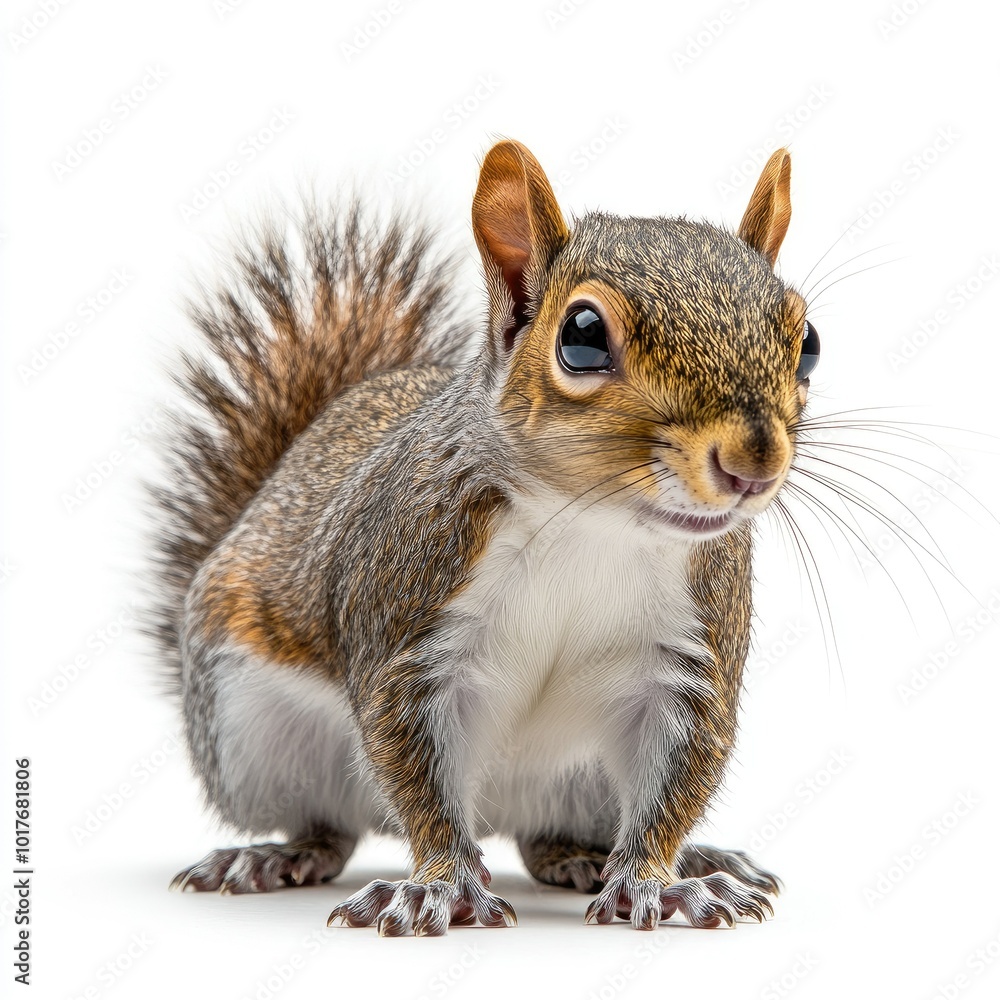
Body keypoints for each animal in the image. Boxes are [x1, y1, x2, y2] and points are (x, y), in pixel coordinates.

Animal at [150, 139, 819, 936]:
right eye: (581, 337)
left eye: (808, 343)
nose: (753, 461)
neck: (591, 524)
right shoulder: (409, 617)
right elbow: (416, 772)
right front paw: (438, 887)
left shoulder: (690, 657)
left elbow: (675, 787)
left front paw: (659, 883)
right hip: (248, 728)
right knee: (328, 826)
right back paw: (271, 856)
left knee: (552, 838)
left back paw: (638, 856)